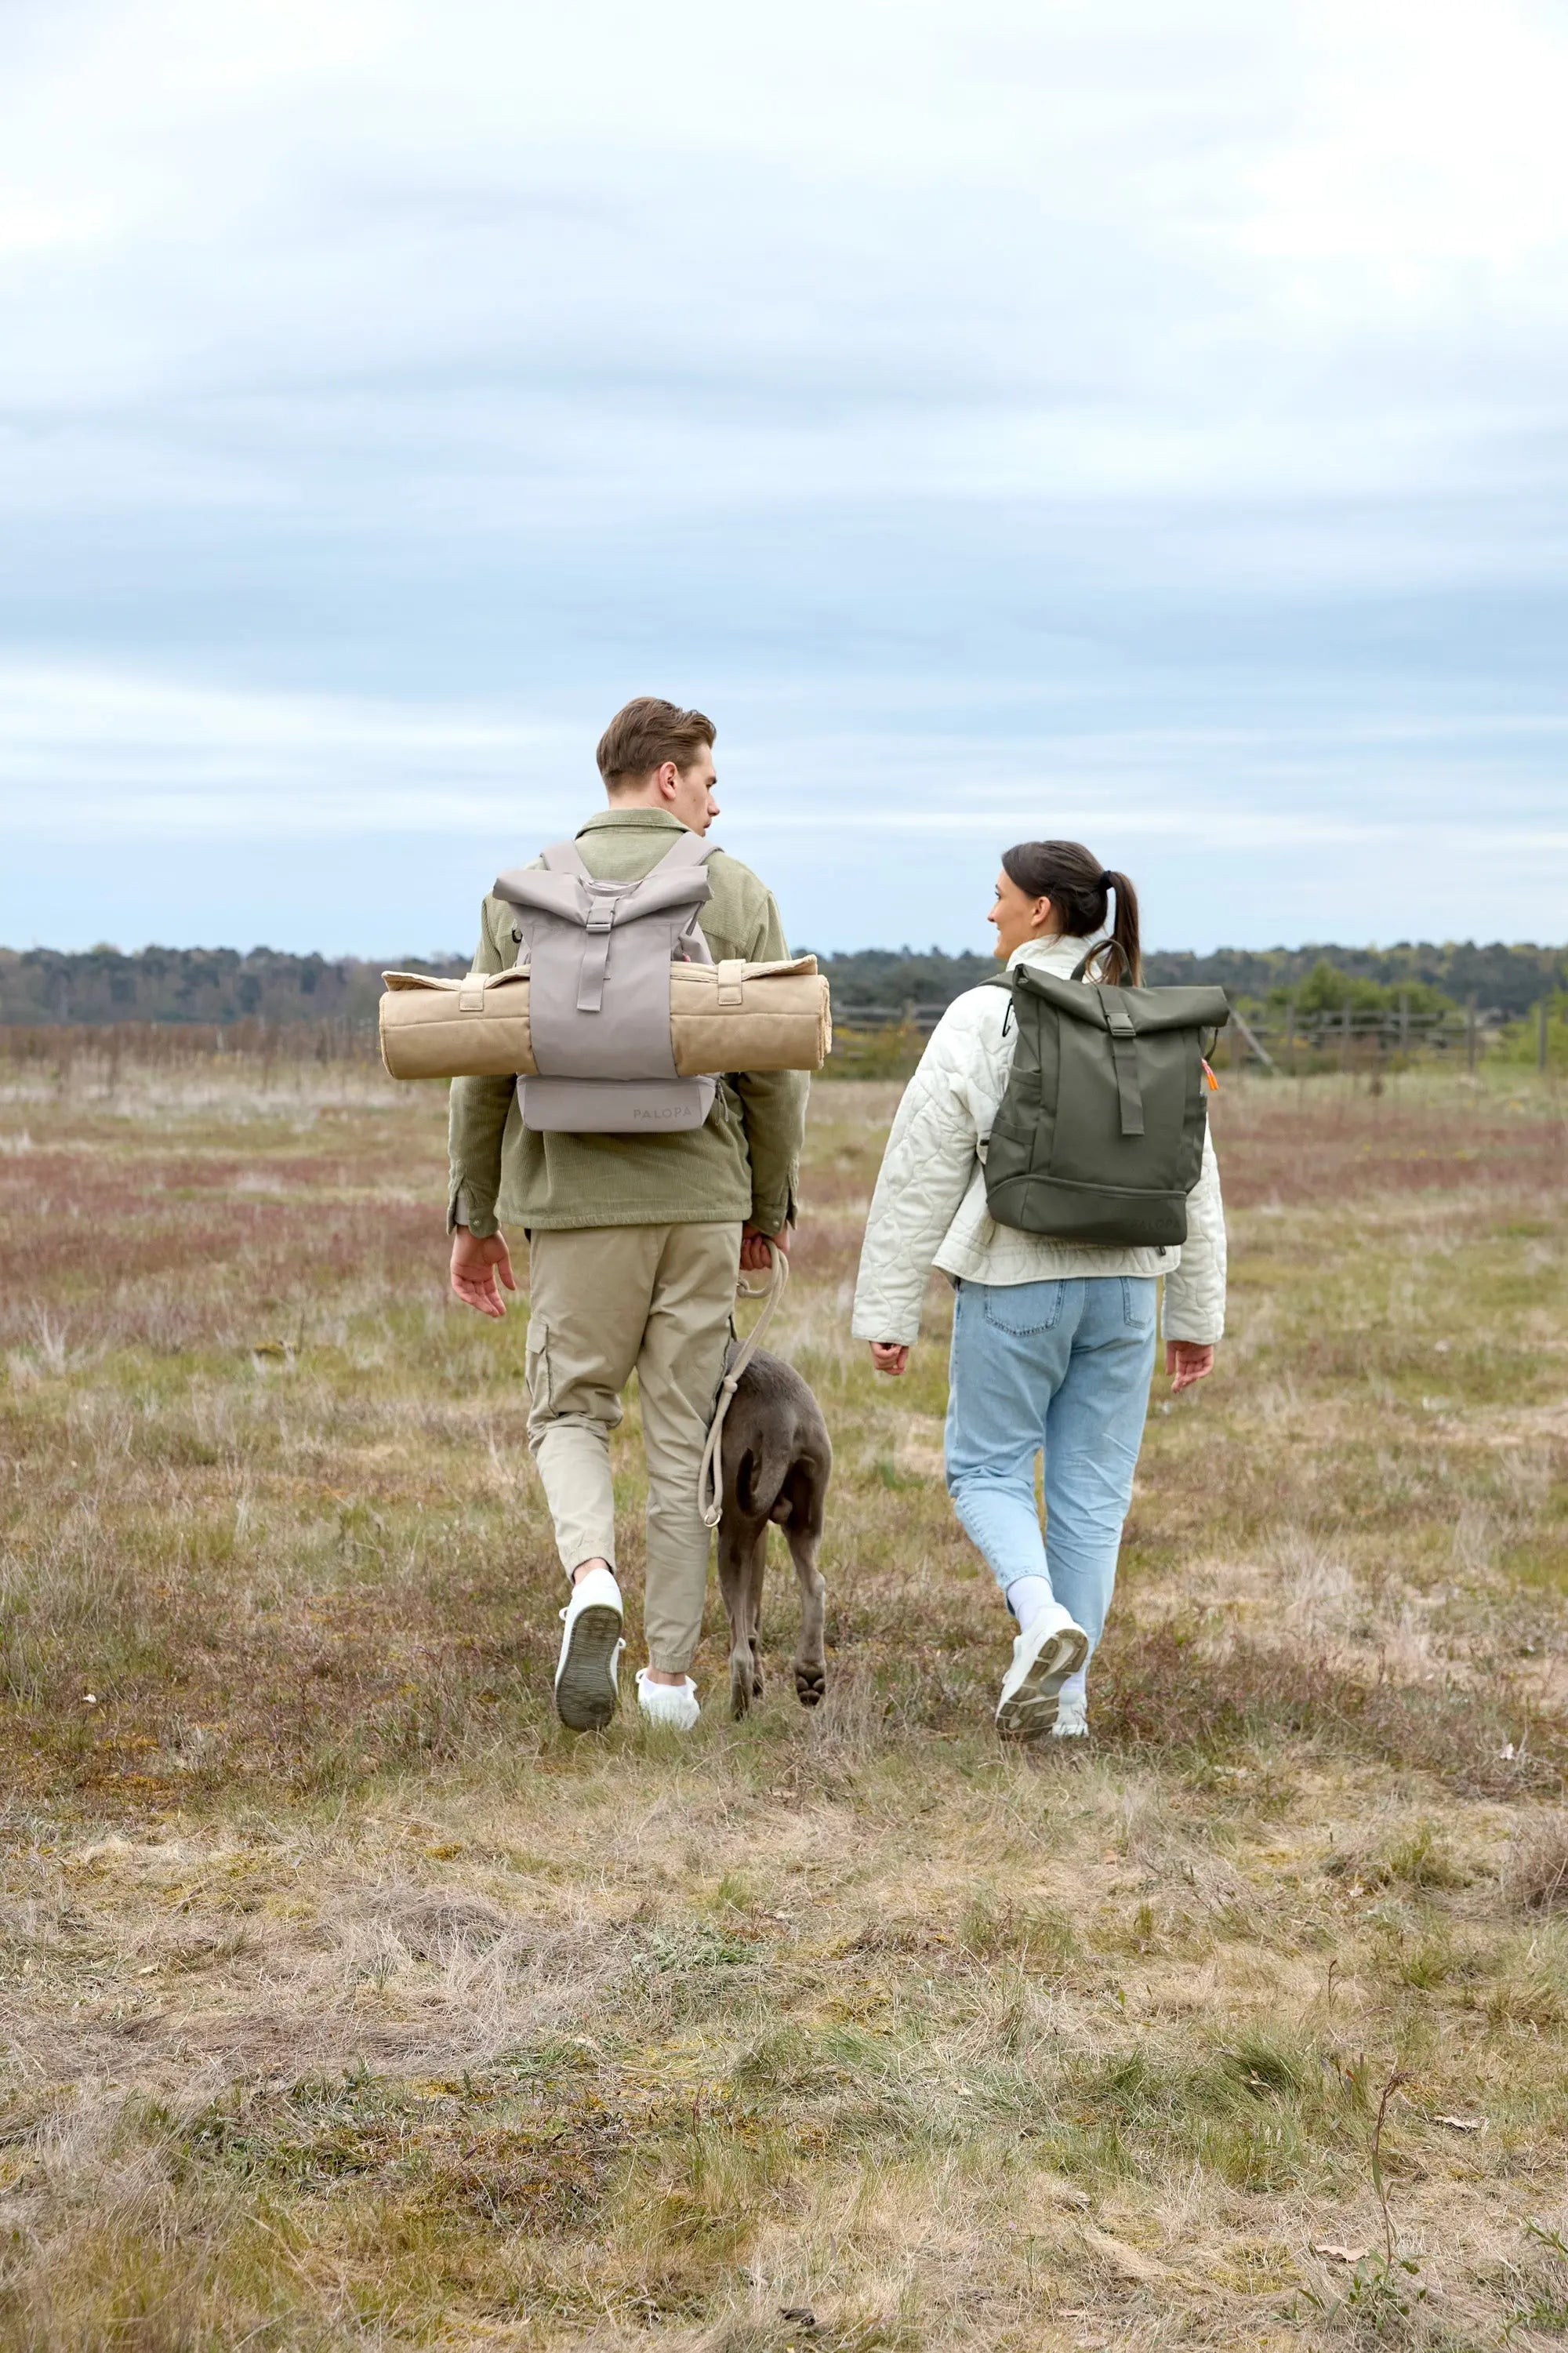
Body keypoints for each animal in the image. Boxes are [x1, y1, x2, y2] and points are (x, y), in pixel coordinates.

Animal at [710, 1355, 829, 1722]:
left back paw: (738, 1707)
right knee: (815, 1583)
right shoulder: (759, 1537)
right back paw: (810, 1673)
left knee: (740, 1654)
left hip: (731, 1535)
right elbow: (753, 1616)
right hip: (805, 1515)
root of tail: (783, 1419)